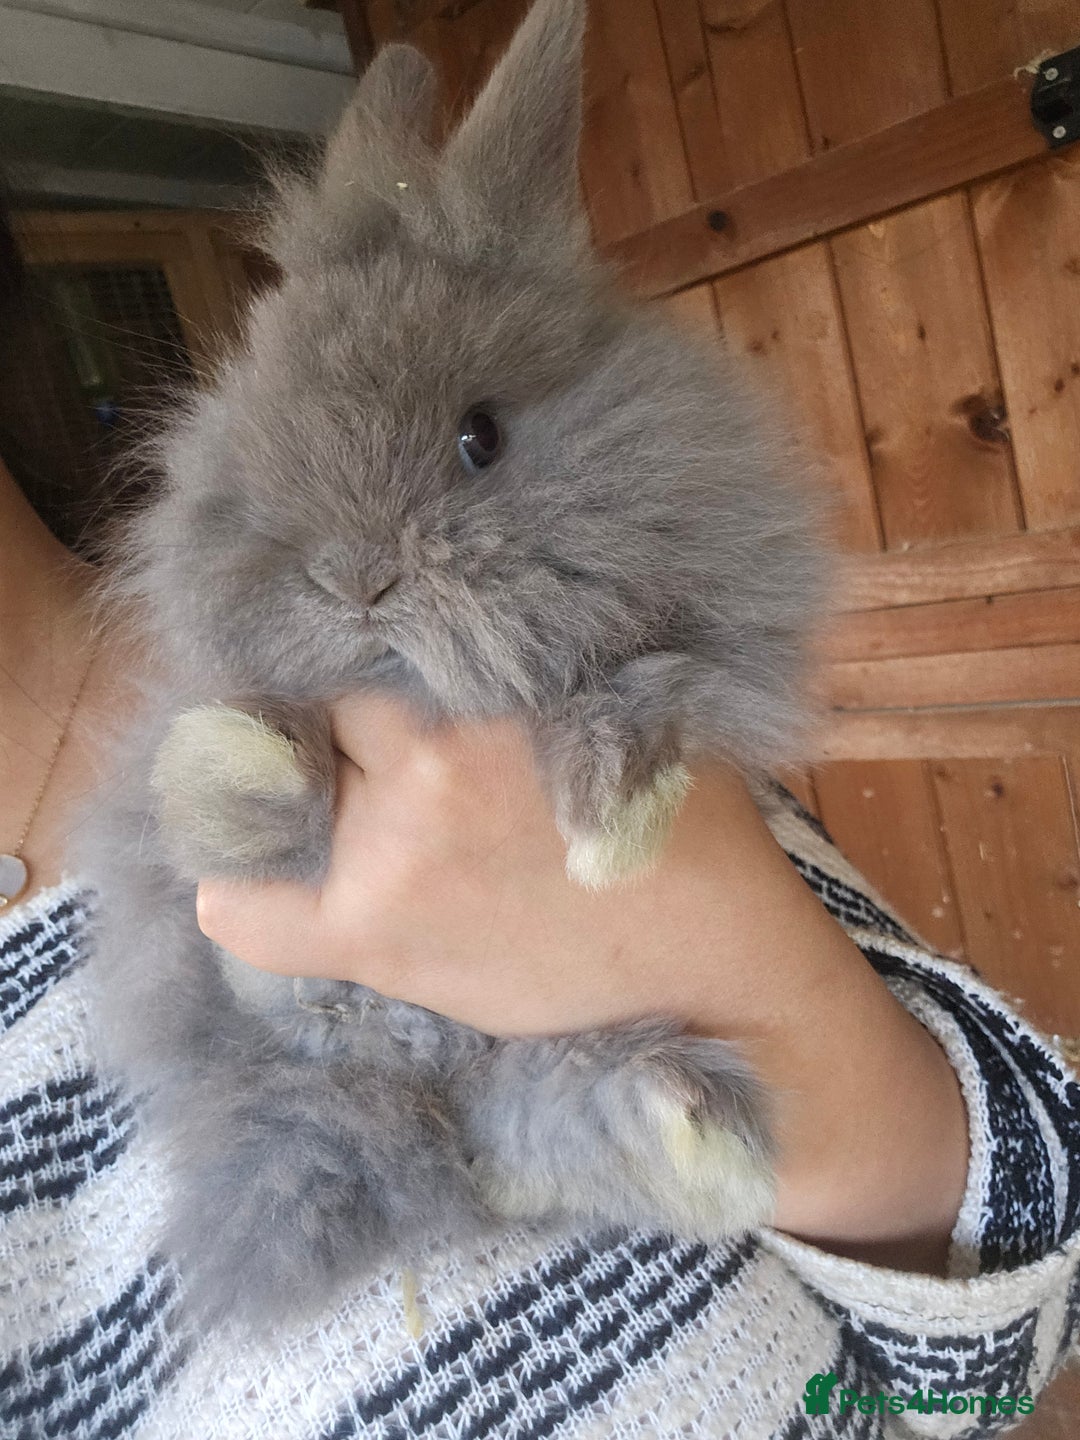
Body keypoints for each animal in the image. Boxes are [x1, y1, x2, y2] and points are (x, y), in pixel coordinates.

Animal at [84, 0, 829, 1333]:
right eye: (258, 448)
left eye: (480, 438)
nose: (354, 582)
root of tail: (406, 1099)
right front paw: (249, 749)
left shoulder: (713, 632)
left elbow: (650, 684)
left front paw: (614, 822)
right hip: (269, 988)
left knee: (526, 1137)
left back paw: (689, 1136)